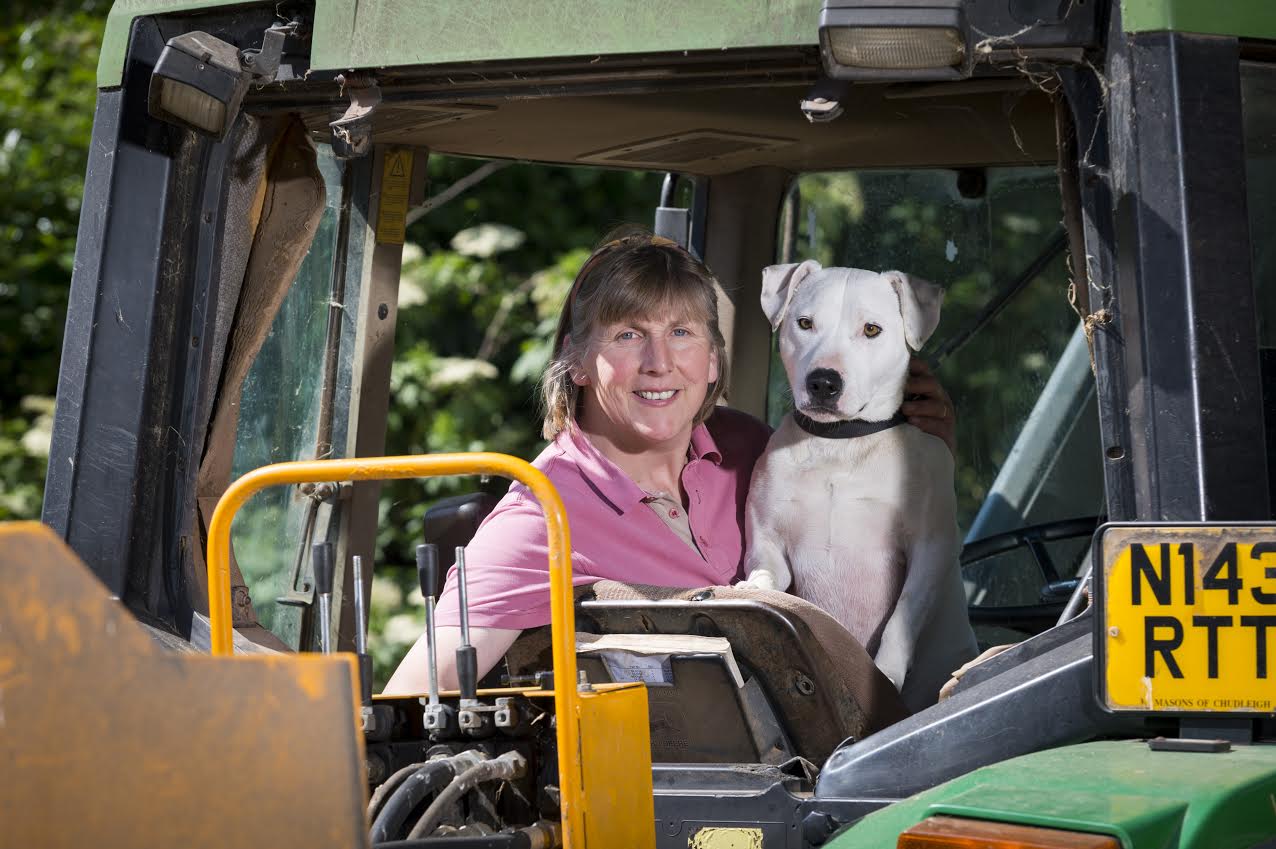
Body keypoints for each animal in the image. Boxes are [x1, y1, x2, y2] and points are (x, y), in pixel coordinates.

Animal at [745, 257, 969, 709]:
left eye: (871, 329)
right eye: (805, 323)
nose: (823, 382)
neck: (842, 443)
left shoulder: (930, 547)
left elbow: (902, 617)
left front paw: (886, 675)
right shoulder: (767, 540)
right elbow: (768, 578)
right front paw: (750, 588)